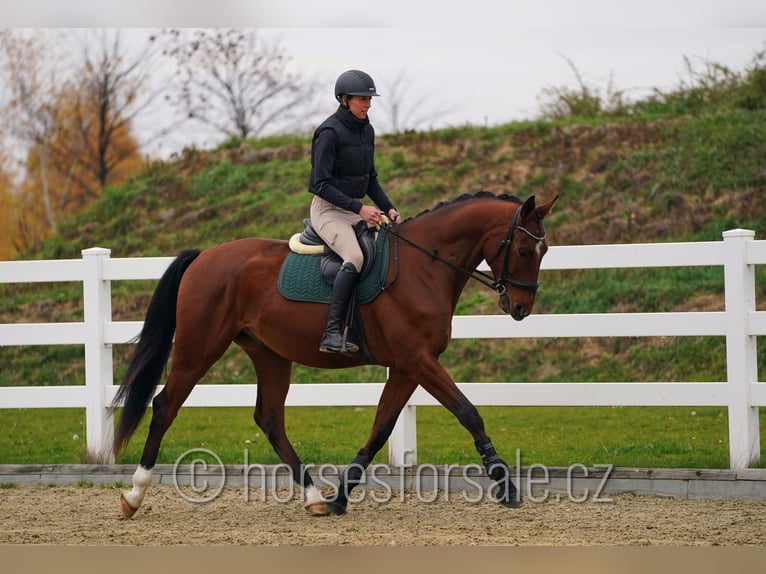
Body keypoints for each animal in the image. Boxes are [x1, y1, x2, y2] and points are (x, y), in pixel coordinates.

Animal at [112, 191, 558, 517]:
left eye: (545, 251)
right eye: (523, 250)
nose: (521, 308)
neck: (423, 266)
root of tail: (204, 256)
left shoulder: (406, 367)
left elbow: (380, 428)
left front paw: (341, 496)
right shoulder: (418, 360)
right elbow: (468, 412)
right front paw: (506, 487)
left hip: (270, 355)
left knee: (269, 419)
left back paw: (314, 498)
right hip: (199, 347)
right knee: (165, 406)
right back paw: (134, 495)